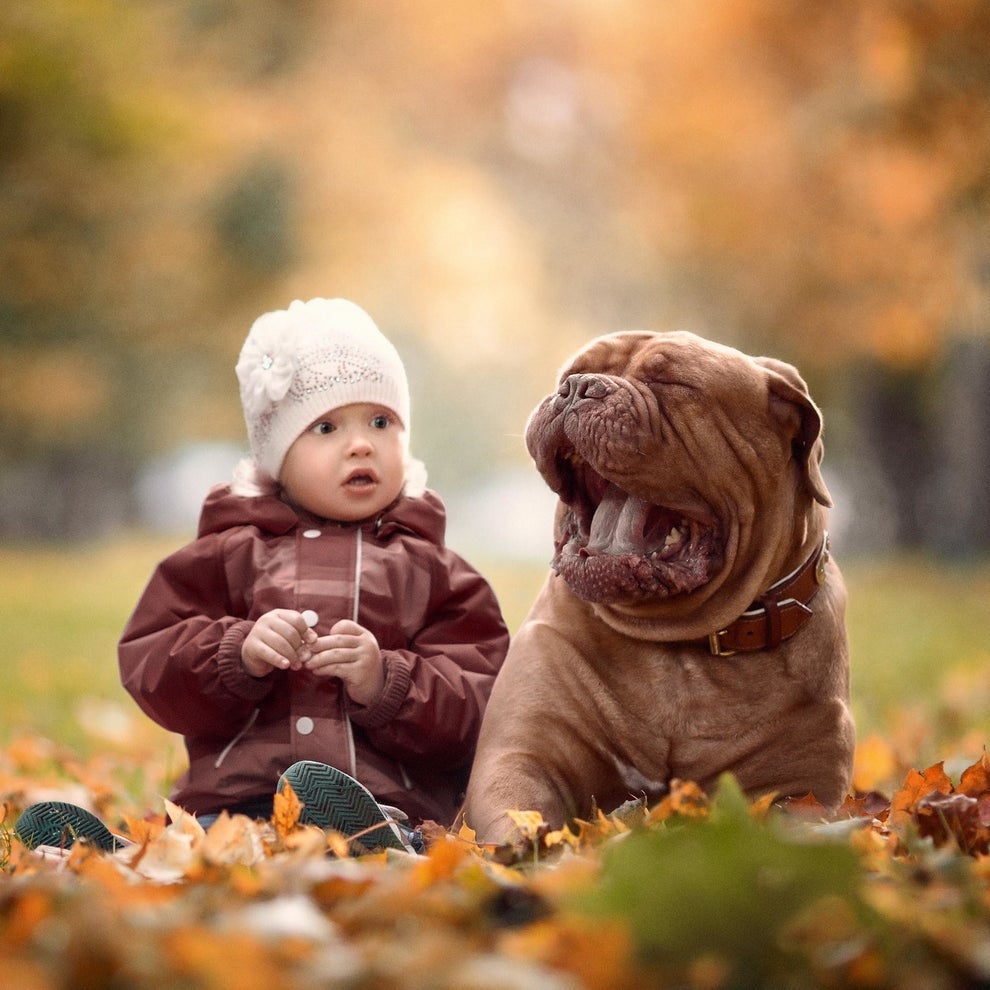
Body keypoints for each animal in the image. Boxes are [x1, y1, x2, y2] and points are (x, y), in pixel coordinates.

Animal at [466, 334, 860, 844]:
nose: (578, 388)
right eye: (570, 373)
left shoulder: (804, 789)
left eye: (674, 383)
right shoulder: (519, 754)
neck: (674, 644)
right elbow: (520, 815)